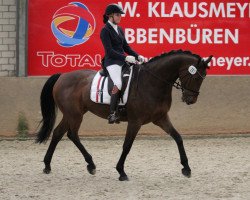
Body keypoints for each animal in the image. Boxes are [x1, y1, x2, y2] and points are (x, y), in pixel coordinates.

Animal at [36, 50, 213, 181]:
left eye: (203, 78)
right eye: (195, 76)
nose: (190, 100)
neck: (152, 82)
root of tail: (62, 76)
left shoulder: (160, 118)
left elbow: (178, 138)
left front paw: (186, 168)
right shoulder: (135, 121)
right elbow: (127, 145)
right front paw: (121, 171)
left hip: (72, 114)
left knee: (58, 133)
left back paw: (48, 165)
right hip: (75, 114)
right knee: (71, 134)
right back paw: (90, 164)